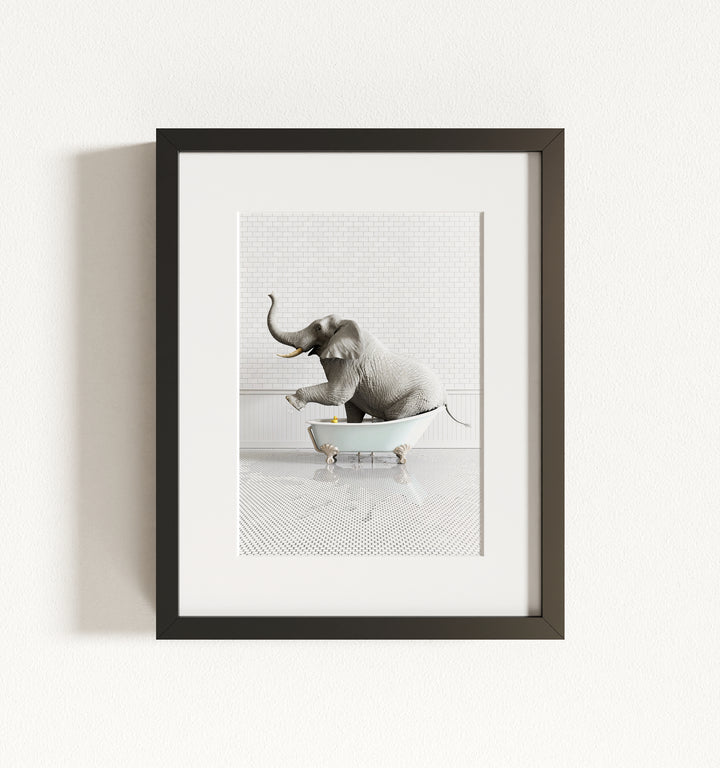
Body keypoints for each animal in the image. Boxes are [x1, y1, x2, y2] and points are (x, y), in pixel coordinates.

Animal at [266, 293, 468, 425]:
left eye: (318, 328)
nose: (270, 294)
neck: (347, 324)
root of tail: (445, 397)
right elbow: (350, 407)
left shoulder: (350, 364)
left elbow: (337, 394)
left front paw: (291, 400)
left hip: (419, 398)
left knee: (395, 415)